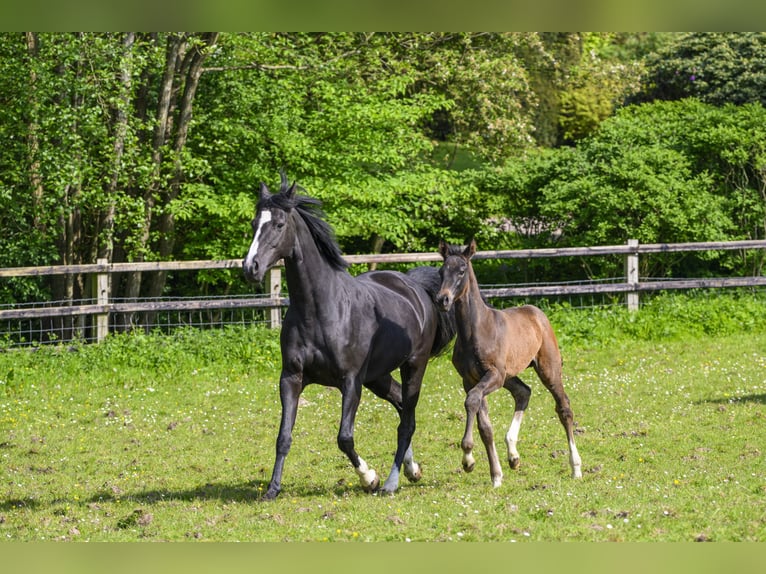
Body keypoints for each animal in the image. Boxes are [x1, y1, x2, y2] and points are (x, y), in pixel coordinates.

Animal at [243, 174, 452, 500]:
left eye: (278, 224)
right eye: (254, 223)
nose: (250, 268)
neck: (320, 310)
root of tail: (414, 287)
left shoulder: (351, 381)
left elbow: (344, 437)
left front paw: (370, 478)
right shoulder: (291, 378)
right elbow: (283, 436)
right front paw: (272, 489)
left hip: (413, 367)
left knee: (407, 419)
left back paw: (393, 480)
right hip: (377, 376)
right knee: (402, 407)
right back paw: (411, 469)